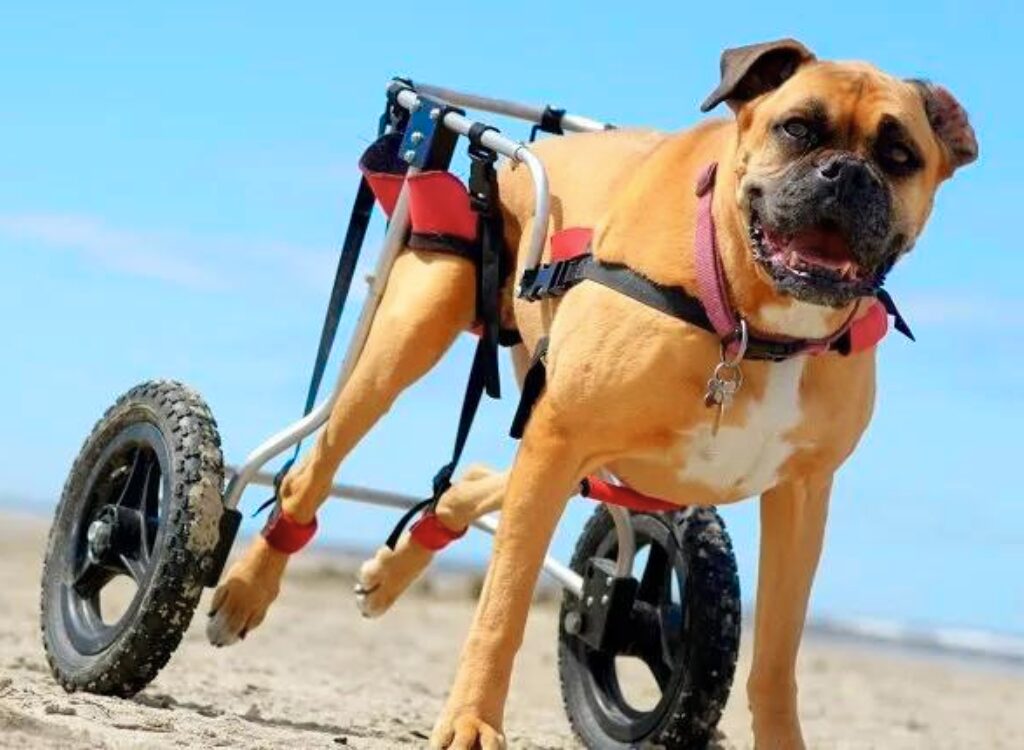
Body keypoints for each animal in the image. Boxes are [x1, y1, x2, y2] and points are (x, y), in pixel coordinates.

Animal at [205, 40, 974, 750]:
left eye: (899, 154)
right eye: (798, 128)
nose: (846, 173)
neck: (749, 318)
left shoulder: (801, 497)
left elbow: (777, 660)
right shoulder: (562, 434)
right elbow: (503, 605)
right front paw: (472, 723)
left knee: (477, 479)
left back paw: (400, 563)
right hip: (407, 344)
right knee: (311, 468)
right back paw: (245, 590)